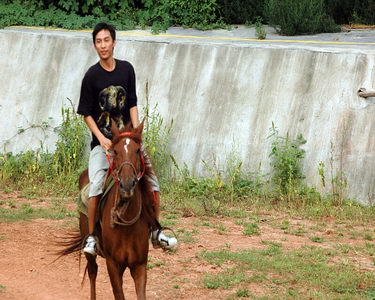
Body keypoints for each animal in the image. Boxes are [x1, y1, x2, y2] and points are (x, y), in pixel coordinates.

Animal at [58, 120, 157, 300]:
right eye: (115, 151)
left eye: (138, 150)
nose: (127, 184)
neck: (127, 225)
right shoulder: (112, 263)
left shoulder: (139, 265)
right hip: (90, 250)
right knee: (92, 272)